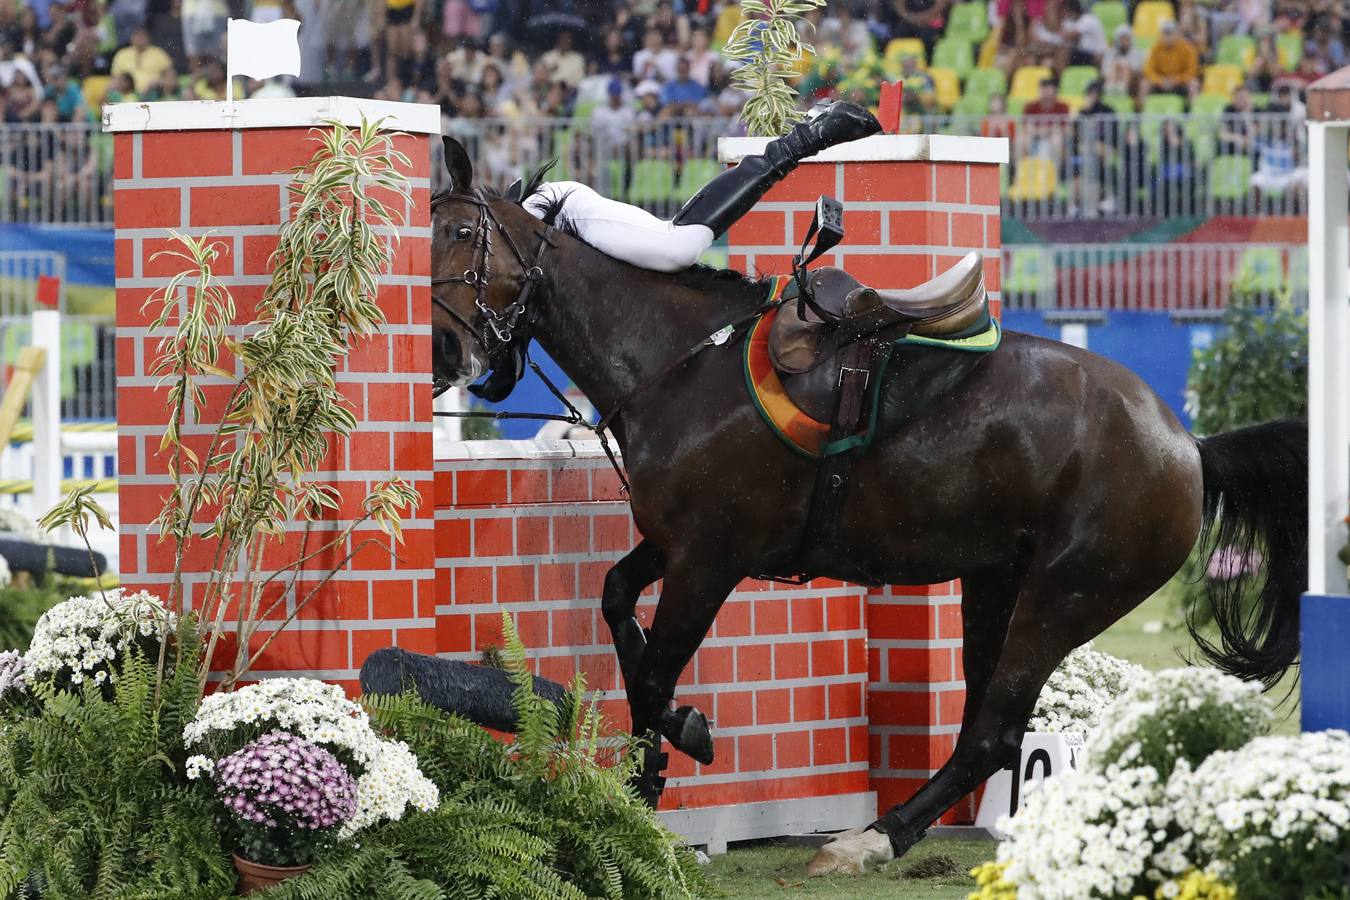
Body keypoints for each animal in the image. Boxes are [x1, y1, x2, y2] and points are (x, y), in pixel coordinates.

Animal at [429, 138, 1306, 874]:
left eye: (461, 234)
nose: (440, 353)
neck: (679, 364)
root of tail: (1188, 445)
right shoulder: (678, 540)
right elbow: (617, 603)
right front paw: (672, 747)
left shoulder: (711, 559)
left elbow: (649, 678)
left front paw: (654, 789)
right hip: (996, 580)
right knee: (986, 729)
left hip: (1065, 595)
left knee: (993, 730)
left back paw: (870, 839)